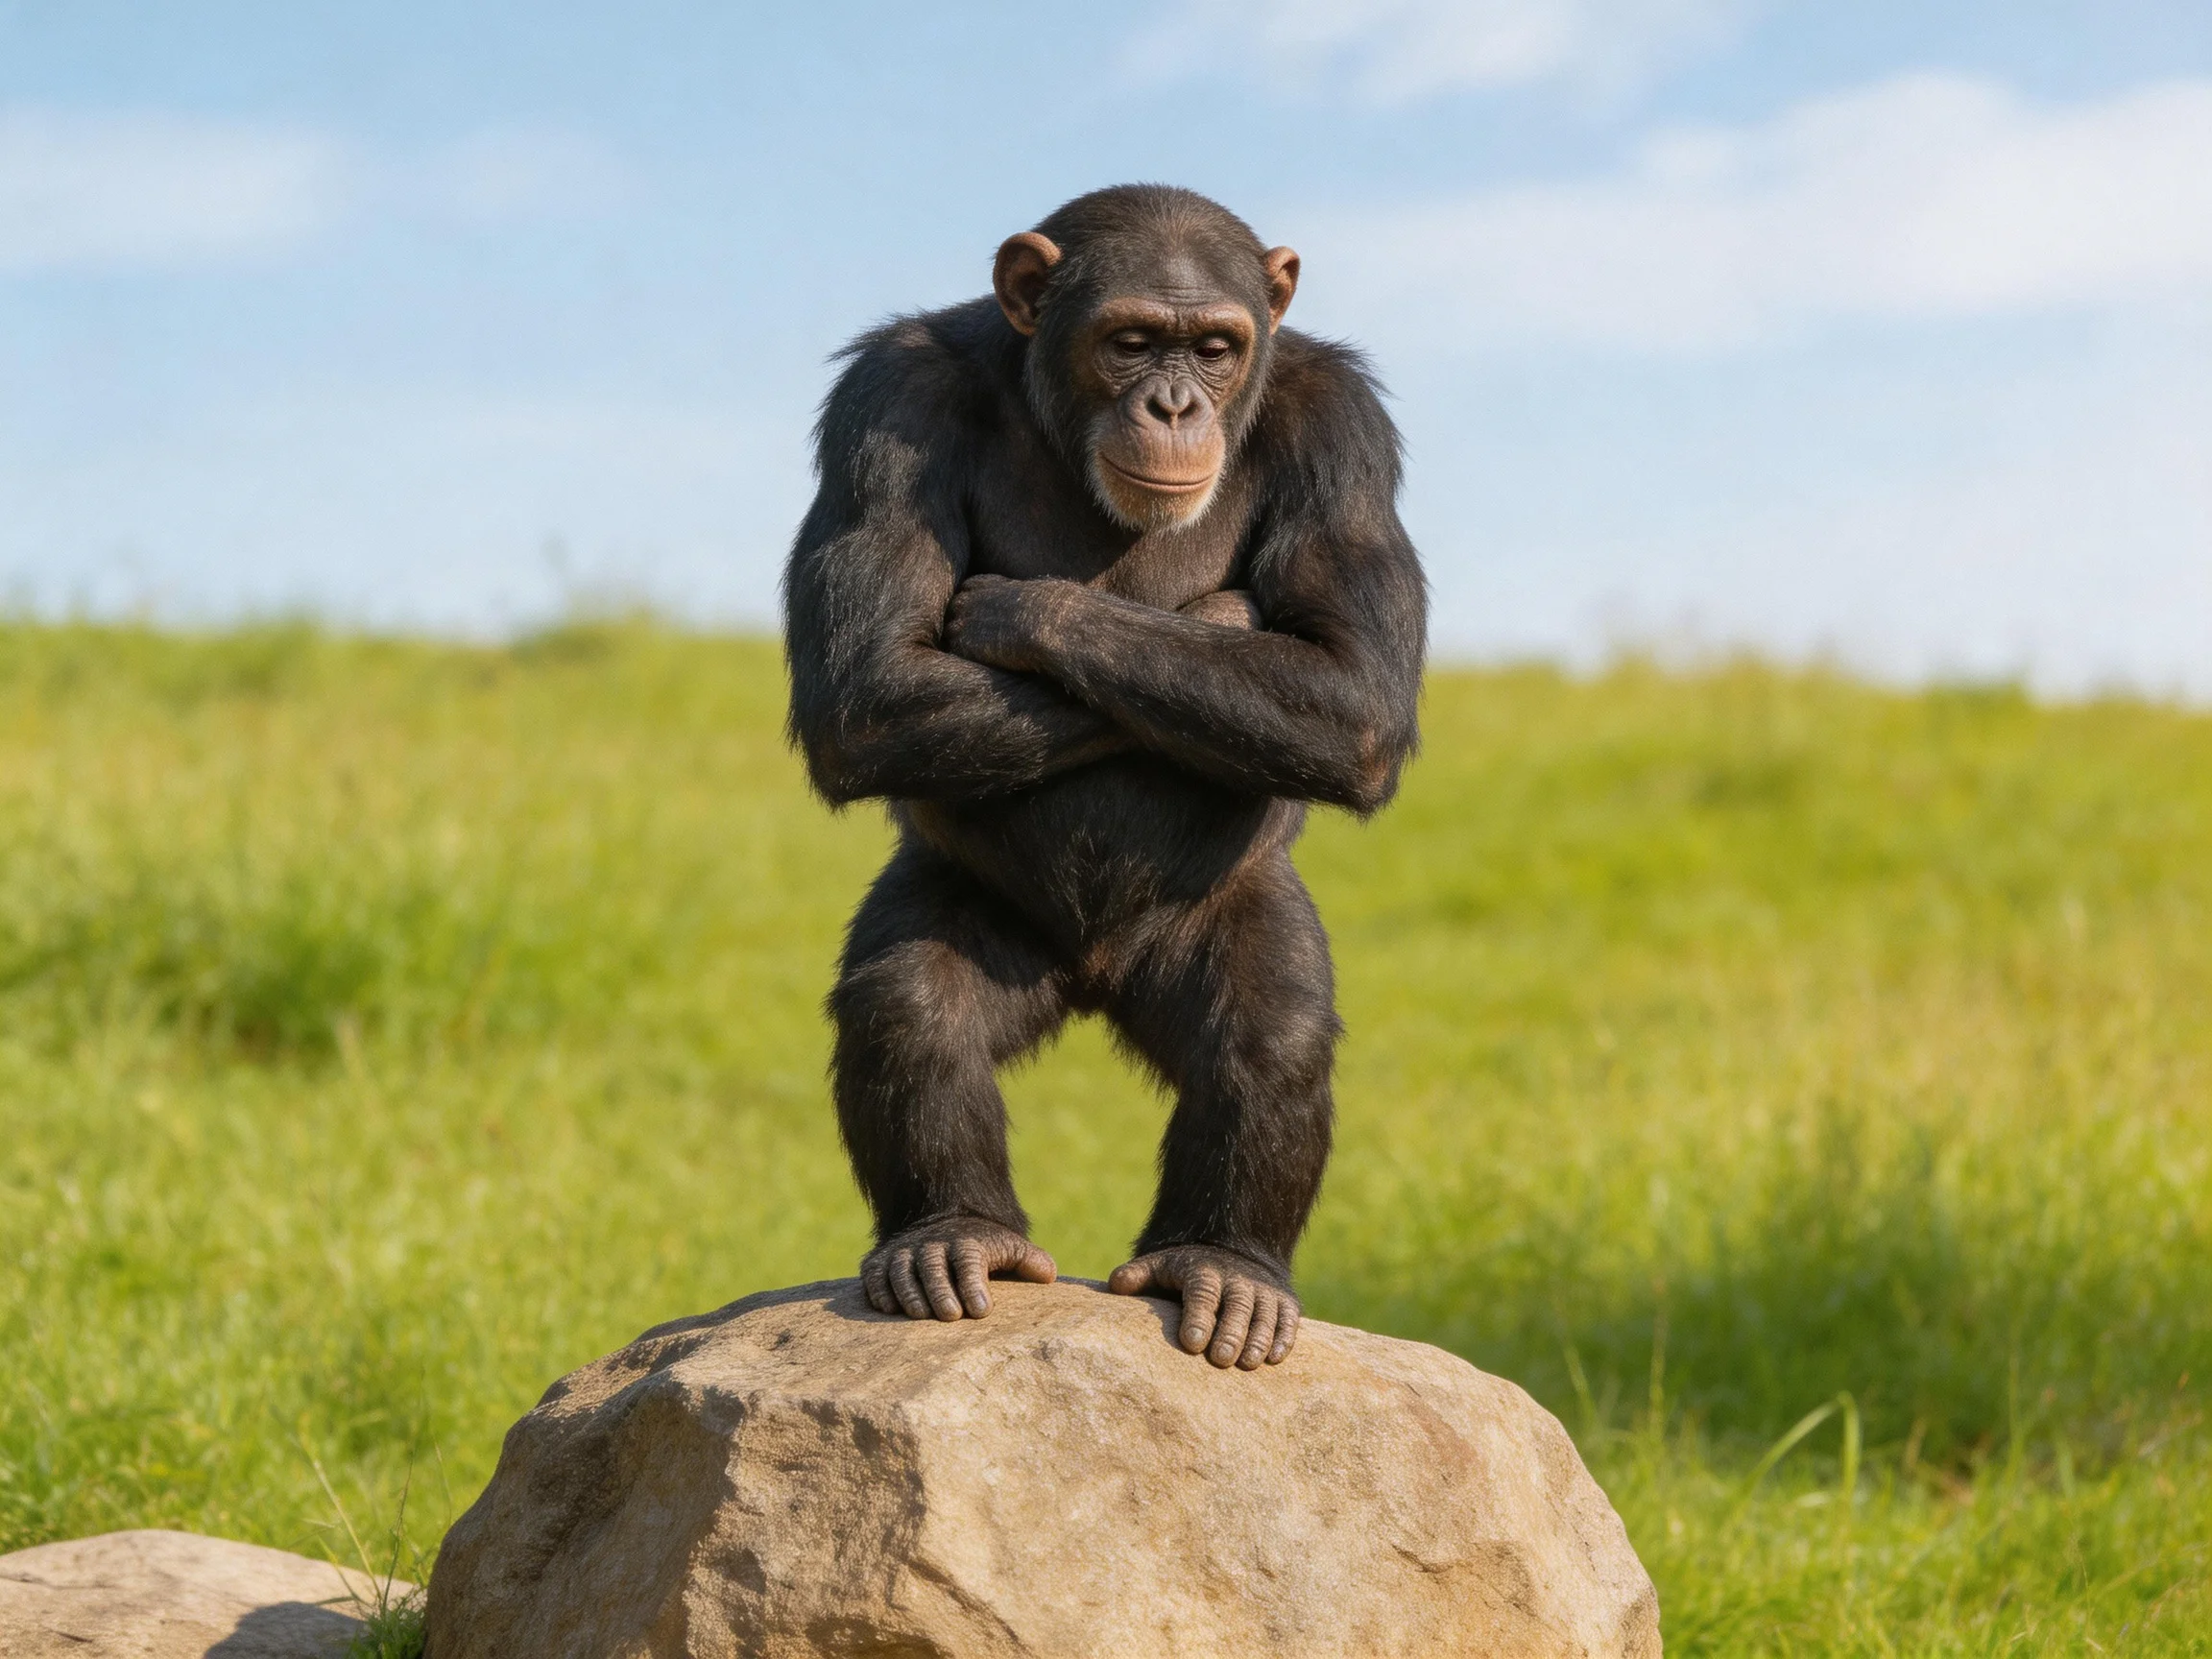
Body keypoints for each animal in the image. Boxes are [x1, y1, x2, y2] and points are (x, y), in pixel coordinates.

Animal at [783, 184, 1425, 1368]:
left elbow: (1352, 690)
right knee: (910, 1004)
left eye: (1214, 348)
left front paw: (1050, 614)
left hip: (1217, 919)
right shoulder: (886, 399)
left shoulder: (1343, 427)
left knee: (1270, 1033)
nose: (1173, 403)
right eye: (1129, 343)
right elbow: (868, 687)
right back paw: (955, 1235)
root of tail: (1090, 977)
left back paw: (1223, 1265)